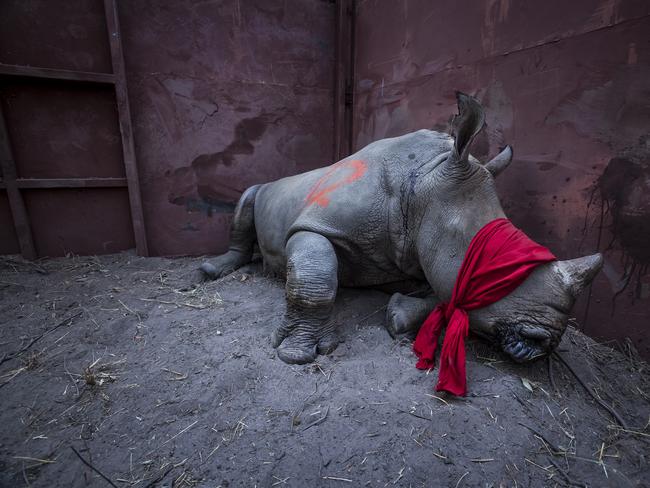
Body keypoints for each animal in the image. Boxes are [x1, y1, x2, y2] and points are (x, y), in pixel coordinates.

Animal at [200, 93, 600, 364]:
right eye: (494, 263)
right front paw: (297, 353)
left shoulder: (423, 250)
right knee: (248, 196)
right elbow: (315, 281)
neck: (425, 182)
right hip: (267, 187)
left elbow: (443, 293)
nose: (545, 340)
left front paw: (398, 316)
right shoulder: (317, 225)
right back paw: (212, 270)